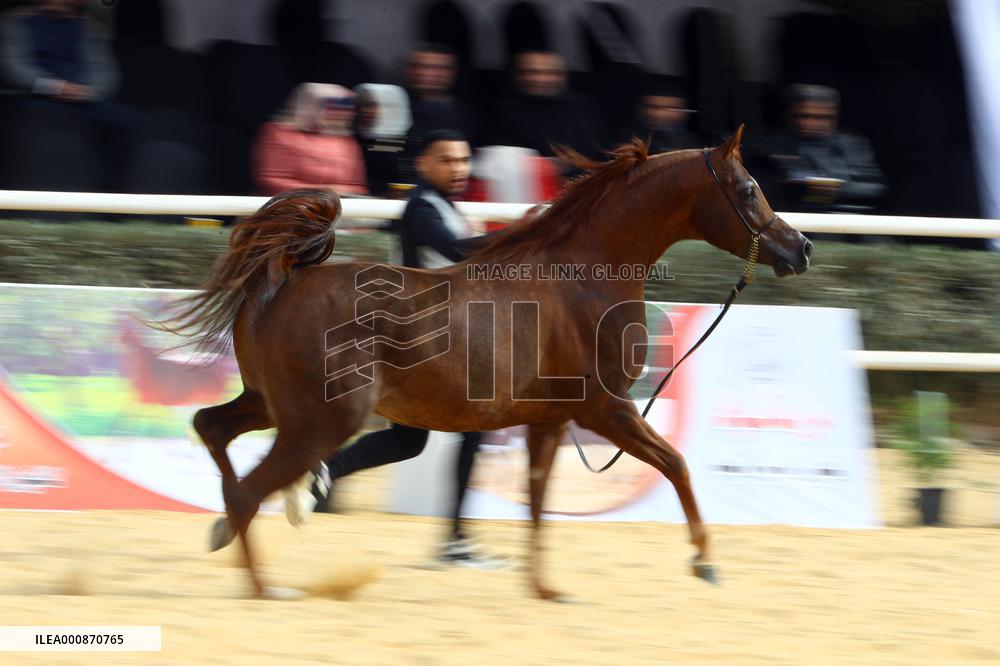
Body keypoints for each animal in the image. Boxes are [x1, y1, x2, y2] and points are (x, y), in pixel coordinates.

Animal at [168, 126, 811, 600]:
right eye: (748, 189)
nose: (800, 248)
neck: (585, 280)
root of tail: (282, 279)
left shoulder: (550, 420)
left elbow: (537, 502)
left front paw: (546, 589)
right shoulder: (606, 410)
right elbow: (676, 464)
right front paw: (705, 562)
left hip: (272, 405)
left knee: (213, 430)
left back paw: (234, 530)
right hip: (318, 420)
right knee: (250, 488)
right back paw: (266, 584)